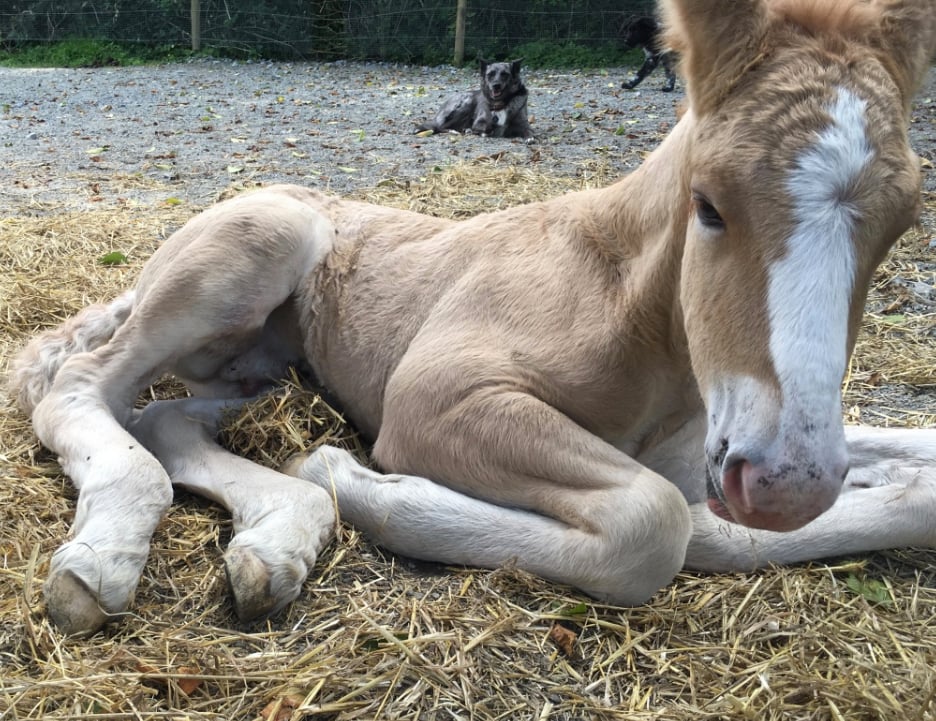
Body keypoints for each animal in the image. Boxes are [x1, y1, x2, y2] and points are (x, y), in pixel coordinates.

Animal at [9, 0, 936, 632]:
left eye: (904, 223)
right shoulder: (437, 396)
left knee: (167, 417)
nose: (785, 478)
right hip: (252, 251)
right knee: (83, 385)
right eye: (708, 203)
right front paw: (364, 479)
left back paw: (273, 542)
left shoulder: (703, 455)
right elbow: (653, 525)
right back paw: (103, 560)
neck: (622, 305)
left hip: (261, 369)